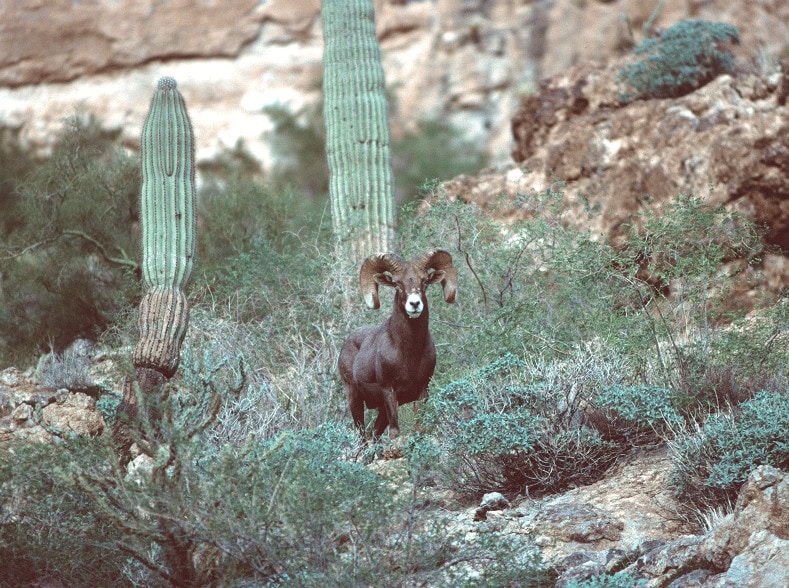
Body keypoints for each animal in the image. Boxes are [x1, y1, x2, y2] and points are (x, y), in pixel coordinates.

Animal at [338, 249, 458, 439]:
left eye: (424, 281)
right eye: (396, 283)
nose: (414, 304)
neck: (409, 353)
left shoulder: (422, 391)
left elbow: (419, 427)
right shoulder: (389, 391)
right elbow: (395, 433)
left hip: (380, 412)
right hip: (354, 399)